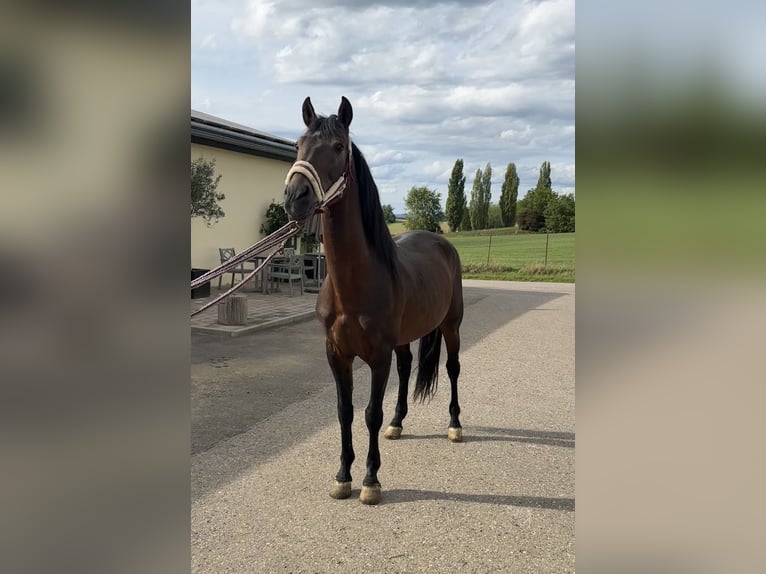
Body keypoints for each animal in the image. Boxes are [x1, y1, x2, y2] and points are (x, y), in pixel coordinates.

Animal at [283, 96, 464, 505]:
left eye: (338, 147)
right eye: (298, 144)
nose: (295, 198)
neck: (354, 287)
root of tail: (441, 242)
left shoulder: (378, 356)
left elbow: (370, 413)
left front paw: (370, 480)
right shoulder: (337, 354)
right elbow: (345, 411)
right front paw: (342, 476)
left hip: (451, 326)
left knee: (452, 369)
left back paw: (455, 424)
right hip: (404, 339)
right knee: (408, 366)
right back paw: (398, 424)